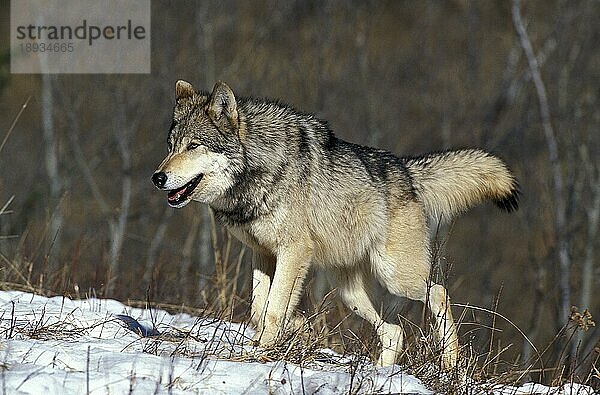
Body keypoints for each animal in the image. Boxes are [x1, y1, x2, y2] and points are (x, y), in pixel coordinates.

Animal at [152, 80, 516, 372]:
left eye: (194, 146)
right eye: (171, 146)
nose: (158, 177)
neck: (258, 168)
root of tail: (406, 170)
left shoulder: (293, 251)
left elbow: (273, 308)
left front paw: (264, 351)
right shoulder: (263, 254)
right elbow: (259, 309)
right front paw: (295, 327)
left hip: (396, 277)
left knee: (438, 291)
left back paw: (450, 361)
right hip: (349, 292)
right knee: (394, 331)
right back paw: (382, 374)